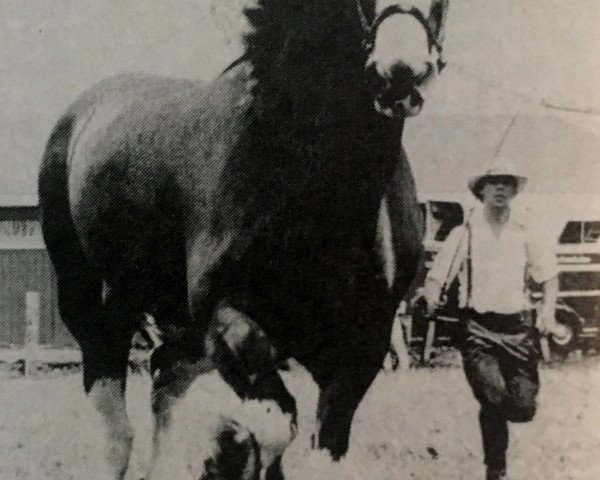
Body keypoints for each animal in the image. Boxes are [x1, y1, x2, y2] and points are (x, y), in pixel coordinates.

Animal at [38, 1, 446, 478]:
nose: (401, 69)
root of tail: (79, 115)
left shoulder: (360, 347)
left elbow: (322, 445)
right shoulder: (226, 320)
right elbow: (273, 426)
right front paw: (226, 453)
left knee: (165, 377)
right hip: (91, 302)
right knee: (115, 418)